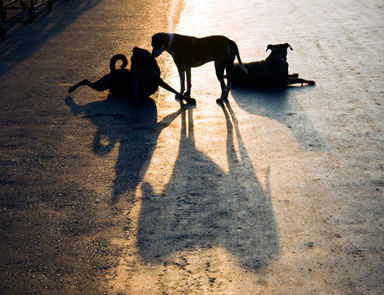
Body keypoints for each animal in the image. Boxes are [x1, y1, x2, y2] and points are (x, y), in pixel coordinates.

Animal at [67, 46, 195, 106]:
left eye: (139, 53)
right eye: (133, 57)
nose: (134, 48)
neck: (143, 66)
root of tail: (113, 70)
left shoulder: (157, 79)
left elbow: (174, 90)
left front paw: (187, 99)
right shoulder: (137, 78)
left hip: (103, 85)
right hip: (101, 84)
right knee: (85, 80)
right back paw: (71, 88)